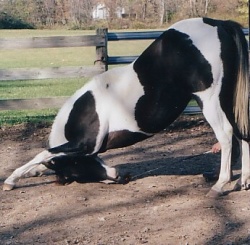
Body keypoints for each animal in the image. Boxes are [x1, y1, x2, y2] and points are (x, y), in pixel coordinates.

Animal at [2, 17, 249, 197]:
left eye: (77, 170)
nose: (121, 175)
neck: (83, 112)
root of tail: (219, 24)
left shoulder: (85, 144)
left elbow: (43, 154)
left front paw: (10, 180)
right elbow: (44, 160)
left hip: (210, 101)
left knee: (226, 135)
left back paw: (220, 185)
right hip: (227, 100)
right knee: (240, 133)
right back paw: (242, 181)